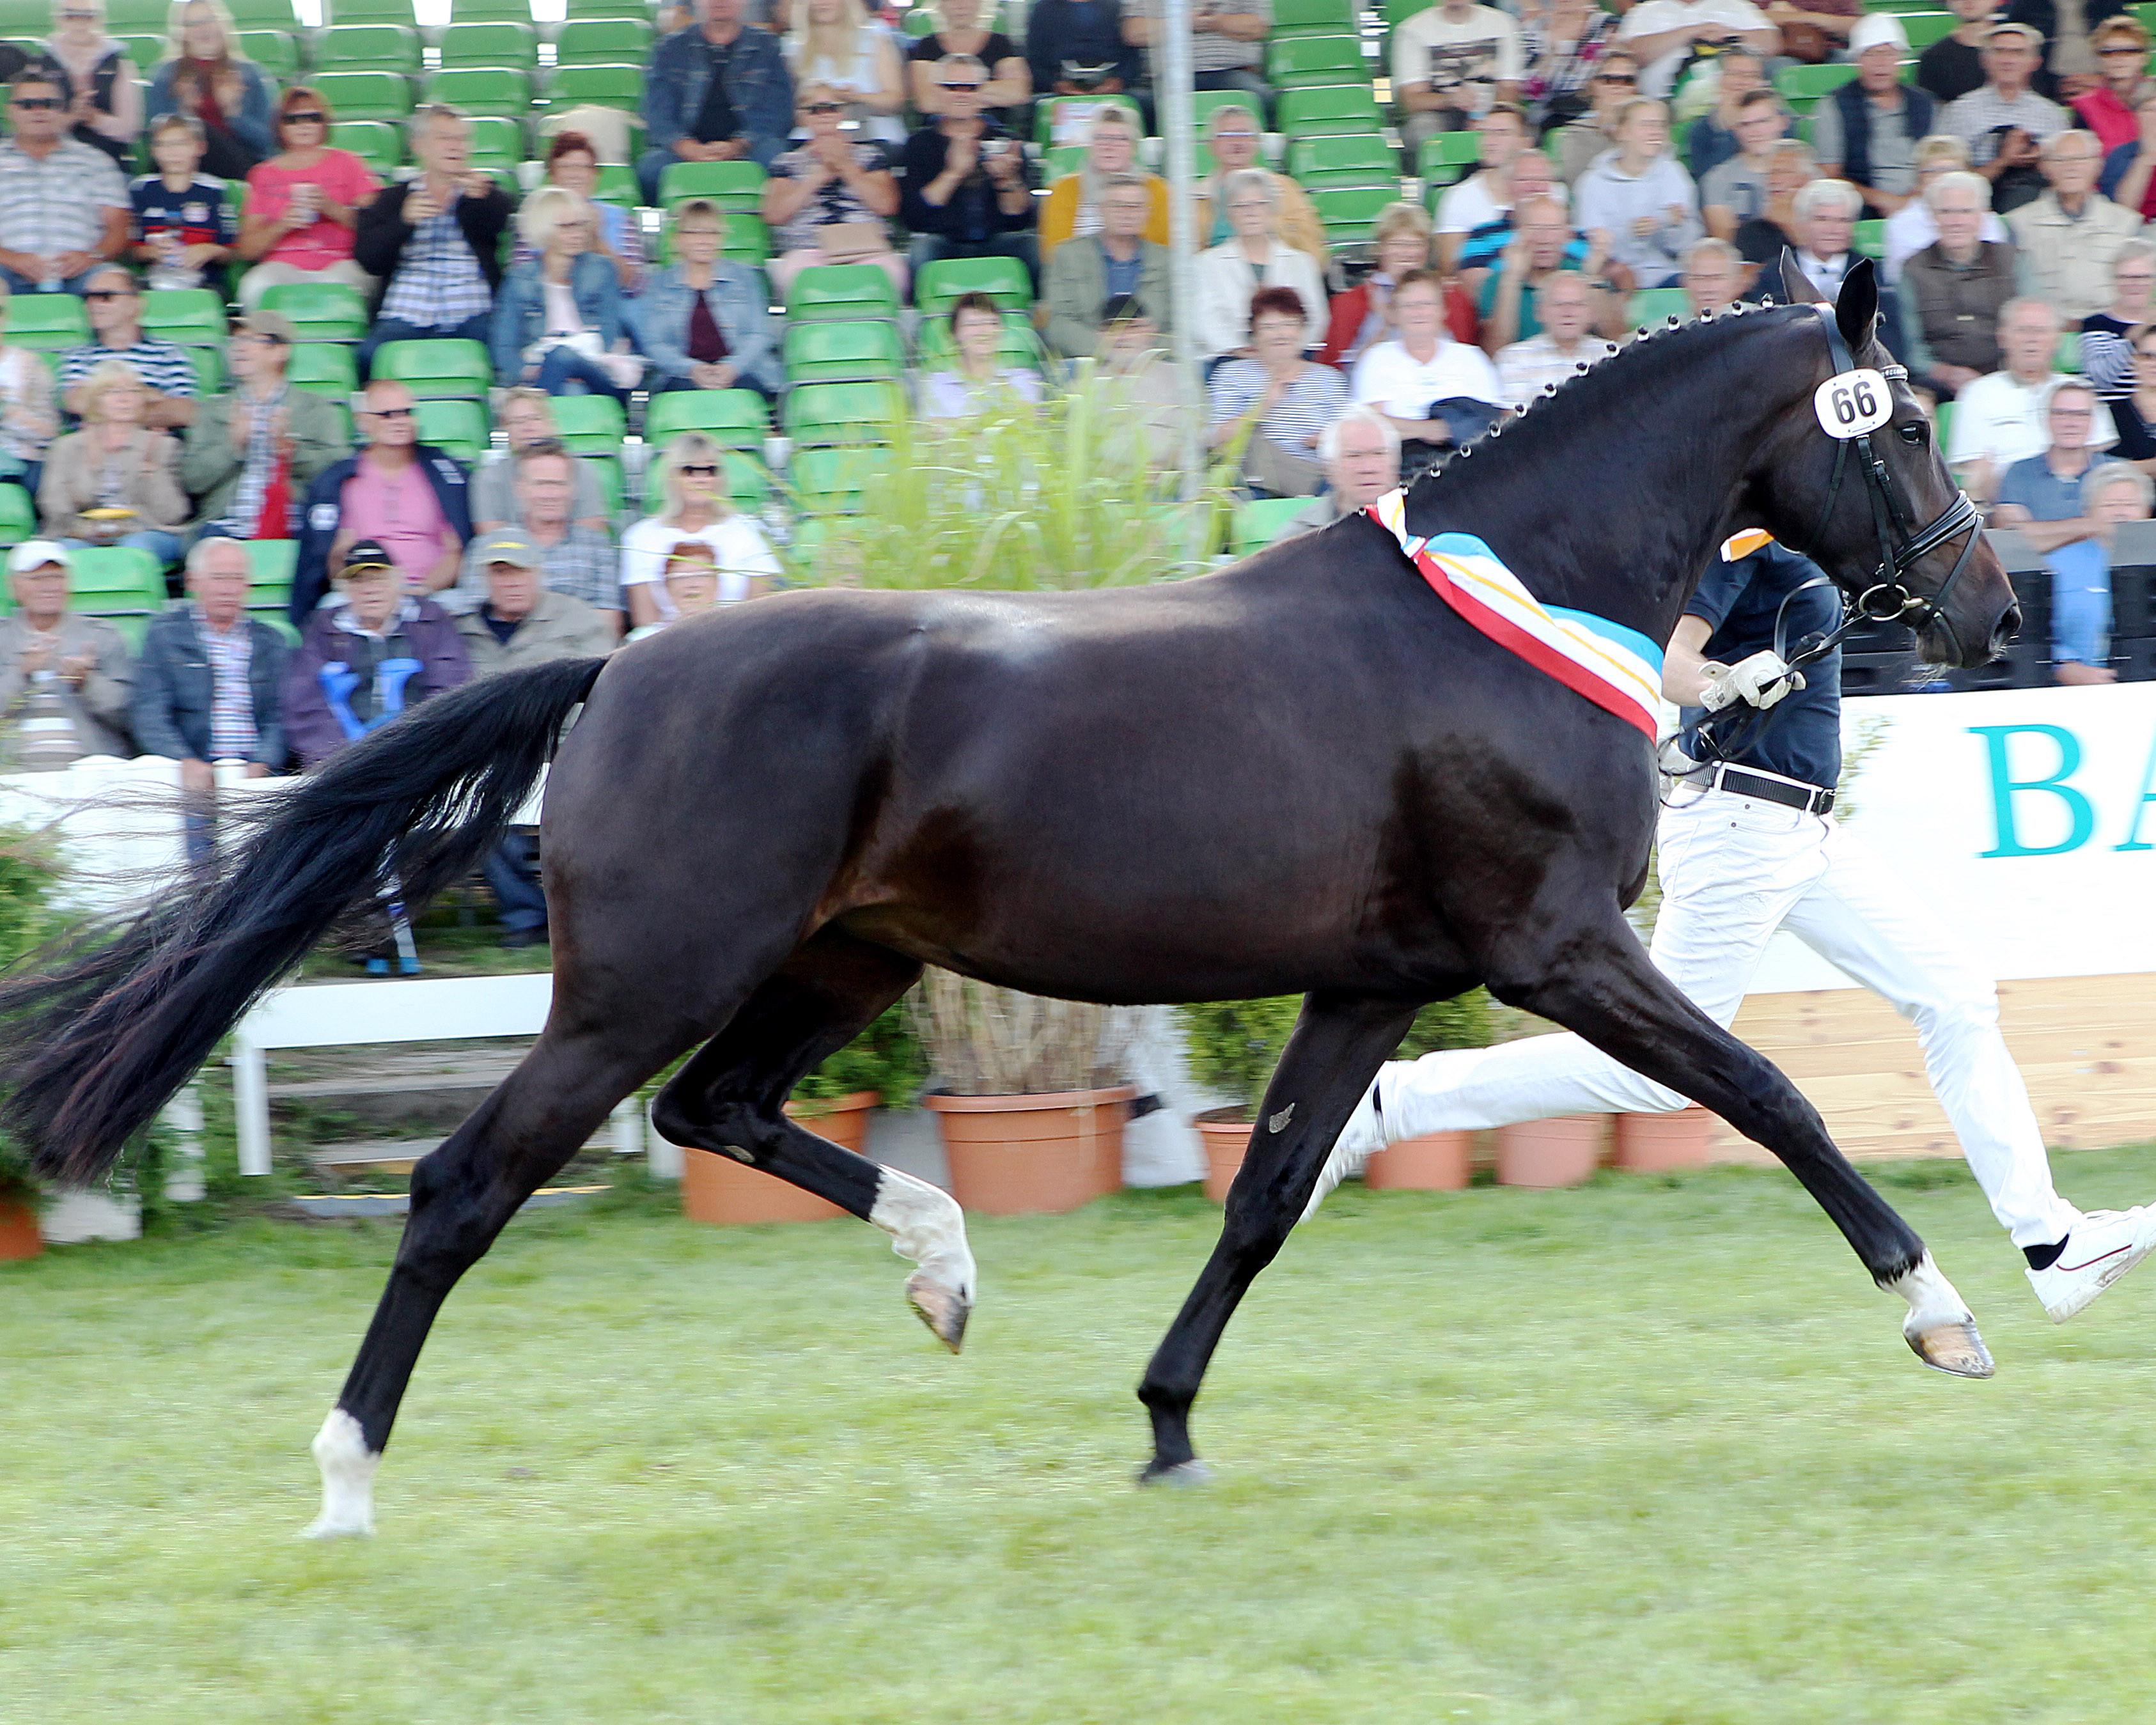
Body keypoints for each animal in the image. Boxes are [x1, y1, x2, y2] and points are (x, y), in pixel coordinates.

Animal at [0, 263, 2018, 1526]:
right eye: (1904, 424)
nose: (1987, 615)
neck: (1511, 607)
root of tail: (618, 668)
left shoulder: (1374, 978)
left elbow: (1263, 1199)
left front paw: (1167, 1427)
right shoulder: (1556, 947)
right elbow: (1770, 1093)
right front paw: (1943, 1312)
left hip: (837, 968)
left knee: (719, 1111)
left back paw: (942, 1265)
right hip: (648, 980)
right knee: (465, 1184)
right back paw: (348, 1473)